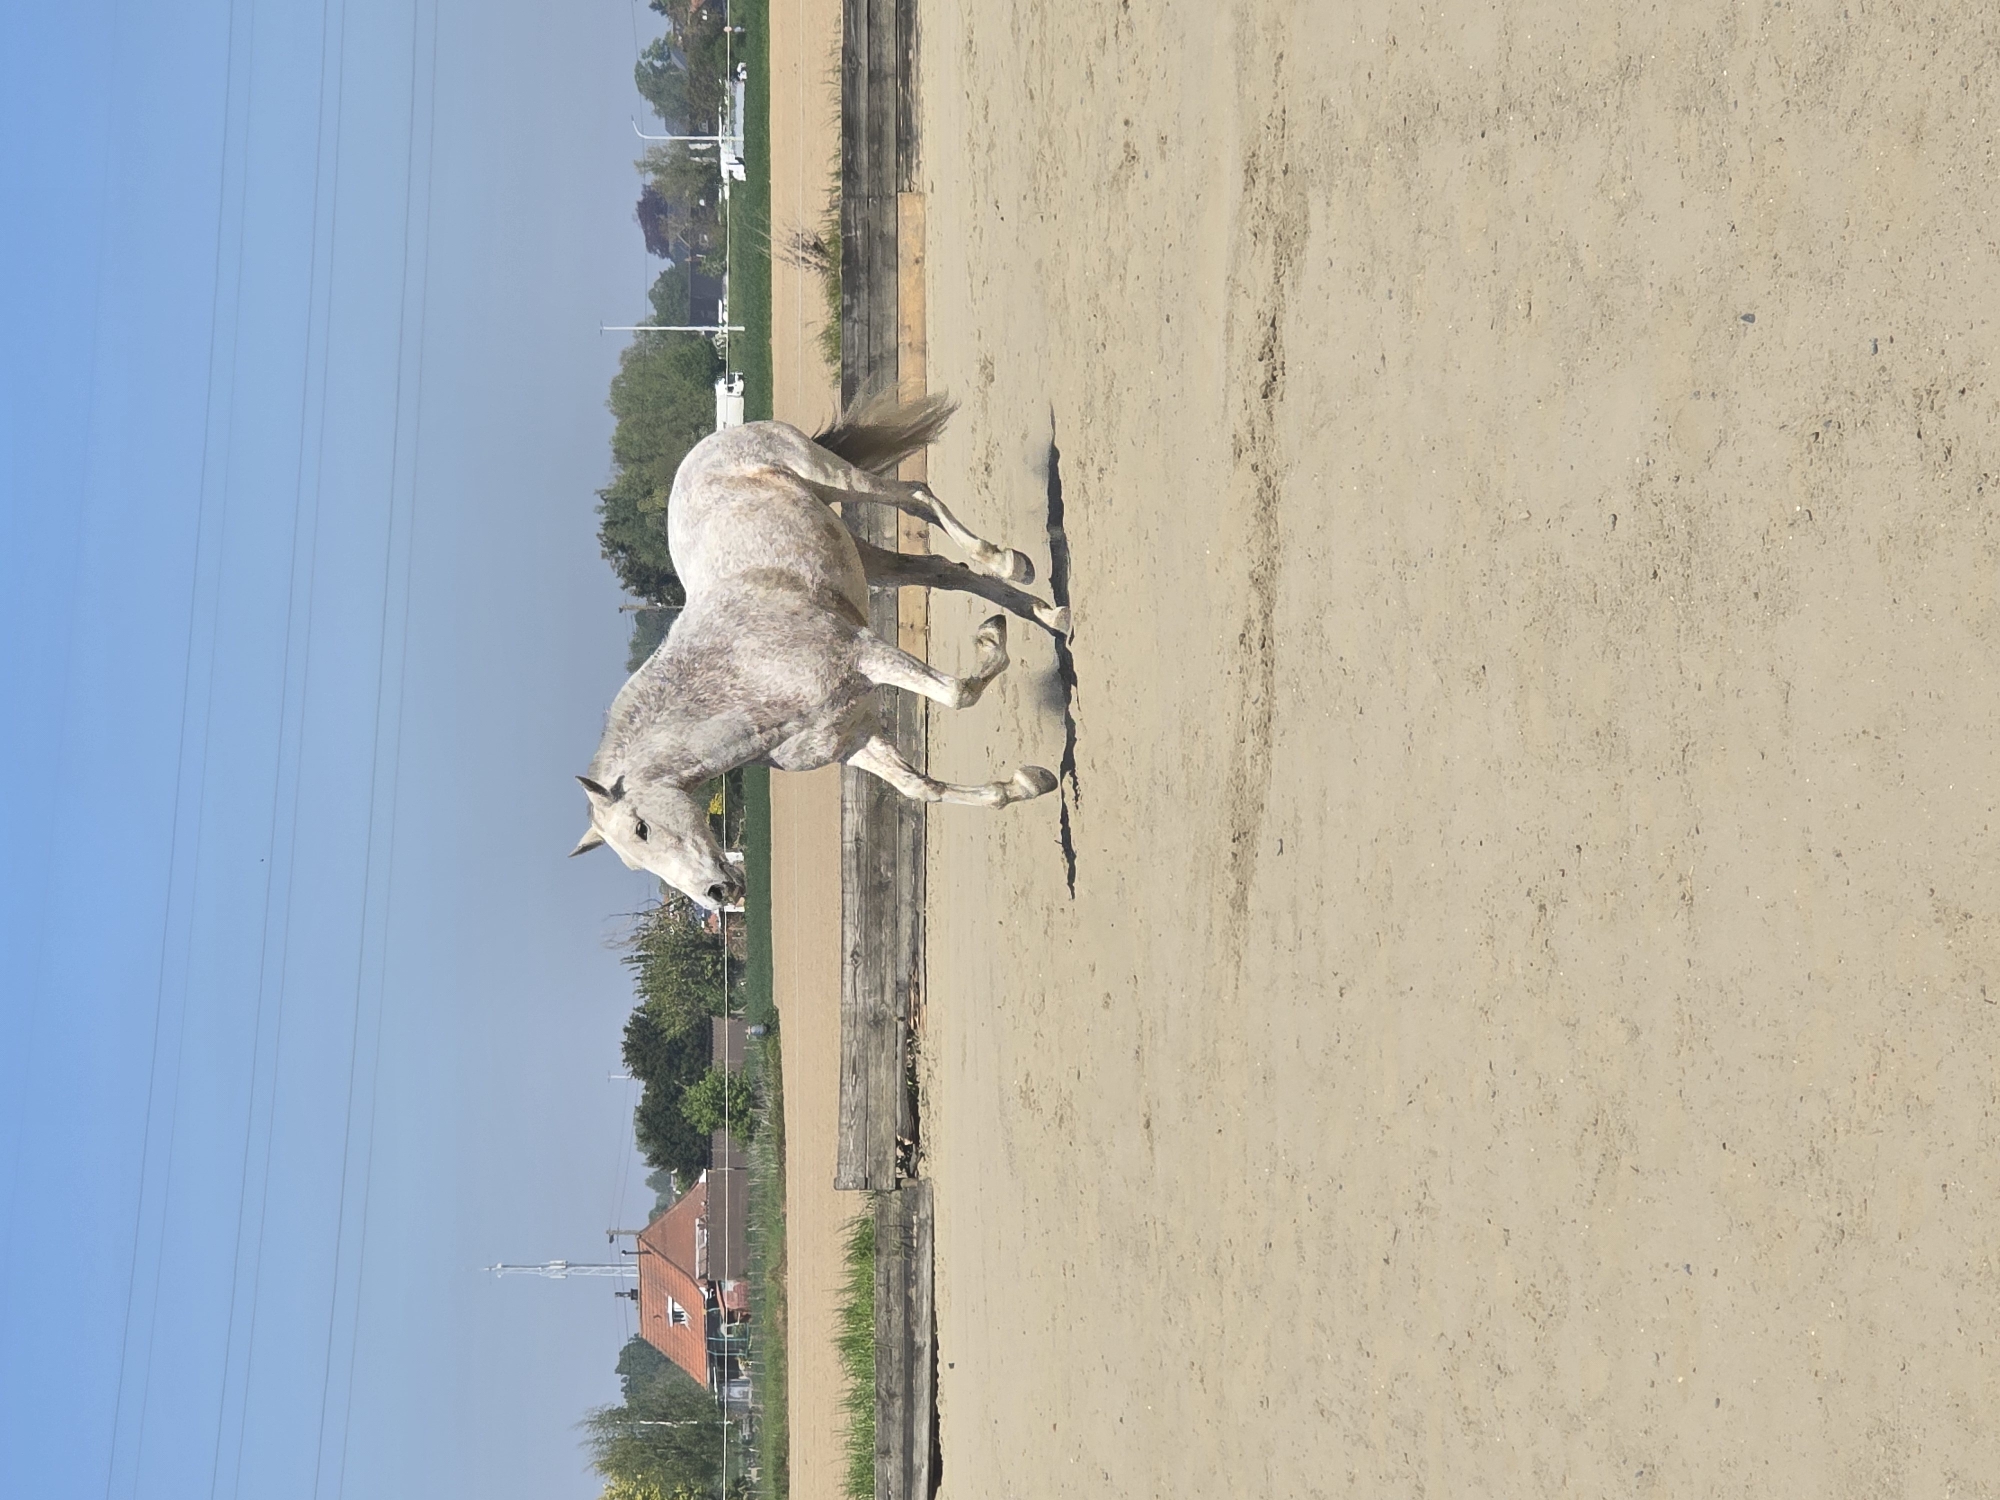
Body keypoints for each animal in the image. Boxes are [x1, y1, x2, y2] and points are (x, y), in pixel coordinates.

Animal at [570, 391, 1071, 908]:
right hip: (864, 556)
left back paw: (1010, 563)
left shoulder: (866, 654)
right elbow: (921, 787)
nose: (717, 893)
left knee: (913, 496)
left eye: (641, 828)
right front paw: (1028, 782)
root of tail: (718, 438)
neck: (747, 682)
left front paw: (991, 642)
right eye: (636, 861)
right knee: (940, 570)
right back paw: (1049, 614)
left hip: (836, 478)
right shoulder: (852, 737)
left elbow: (958, 694)